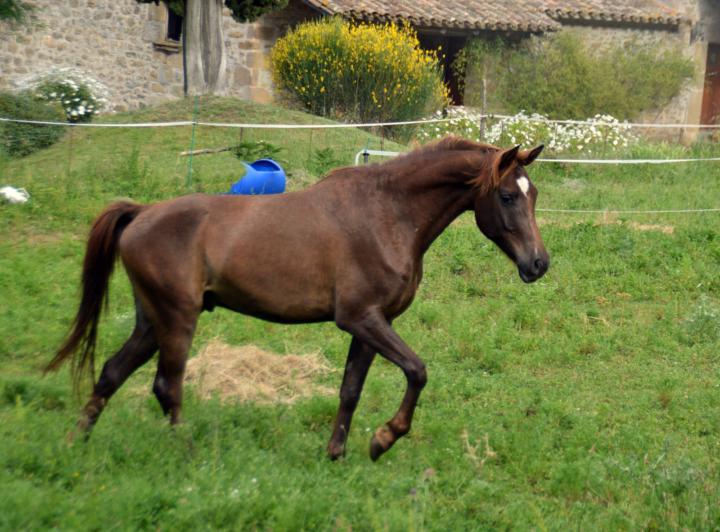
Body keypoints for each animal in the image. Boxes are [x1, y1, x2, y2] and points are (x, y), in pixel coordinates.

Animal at [46, 137, 549, 461]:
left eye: (534, 194)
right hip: (177, 319)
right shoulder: (360, 318)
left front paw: (337, 454)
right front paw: (384, 439)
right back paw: (188, 456)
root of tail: (141, 214)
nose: (539, 263)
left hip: (152, 321)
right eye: (508, 196)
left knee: (111, 373)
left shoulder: (372, 324)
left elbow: (350, 390)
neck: (387, 214)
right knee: (167, 386)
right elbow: (417, 371)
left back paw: (74, 446)